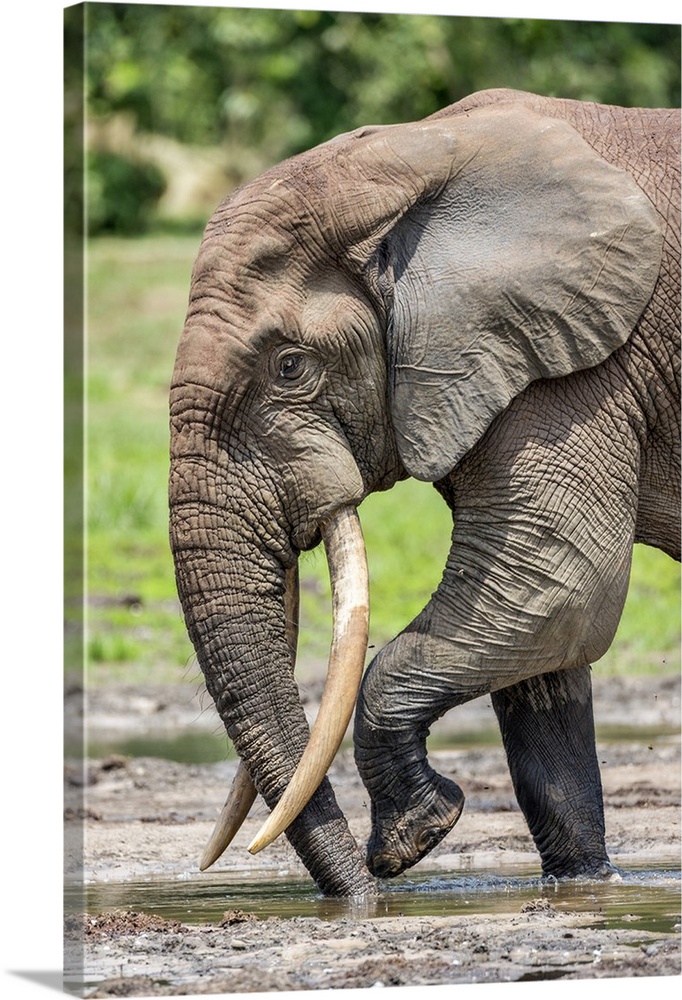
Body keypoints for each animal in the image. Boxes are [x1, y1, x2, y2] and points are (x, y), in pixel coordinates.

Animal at [167, 88, 676, 900]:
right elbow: (540, 643)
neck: (411, 158)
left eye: (289, 366)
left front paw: (413, 835)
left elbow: (556, 589)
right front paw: (585, 887)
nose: (364, 897)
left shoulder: (581, 366)